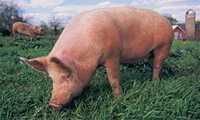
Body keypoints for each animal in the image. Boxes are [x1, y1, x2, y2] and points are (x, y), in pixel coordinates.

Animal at [19, 6, 173, 109]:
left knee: (157, 65)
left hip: (163, 46)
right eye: (52, 78)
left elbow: (113, 79)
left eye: (67, 75)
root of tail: (166, 21)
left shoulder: (112, 55)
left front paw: (118, 99)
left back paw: (154, 82)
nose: (52, 104)